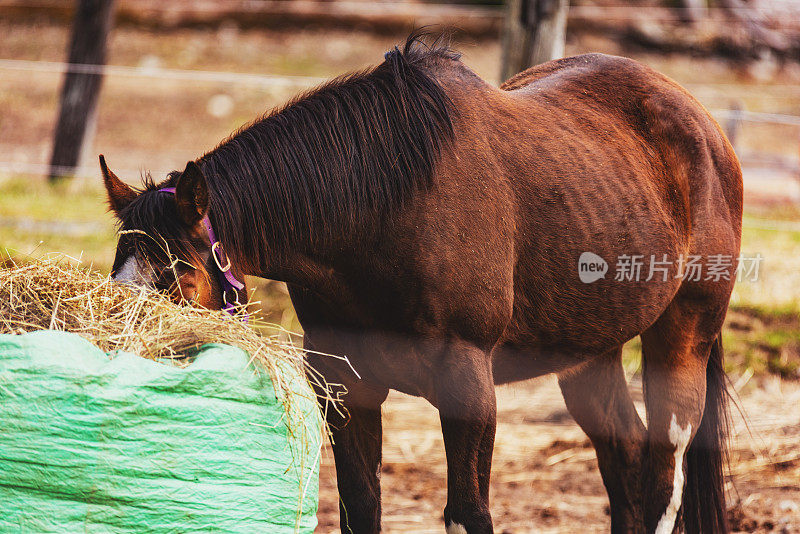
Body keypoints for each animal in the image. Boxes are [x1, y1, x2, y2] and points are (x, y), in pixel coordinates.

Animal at [101, 34, 744, 534]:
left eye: (180, 275)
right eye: (118, 269)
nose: (123, 356)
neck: (388, 209)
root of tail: (703, 125)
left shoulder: (468, 387)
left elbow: (468, 512)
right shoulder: (345, 385)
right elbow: (361, 509)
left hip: (681, 337)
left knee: (664, 469)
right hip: (588, 350)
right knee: (625, 457)